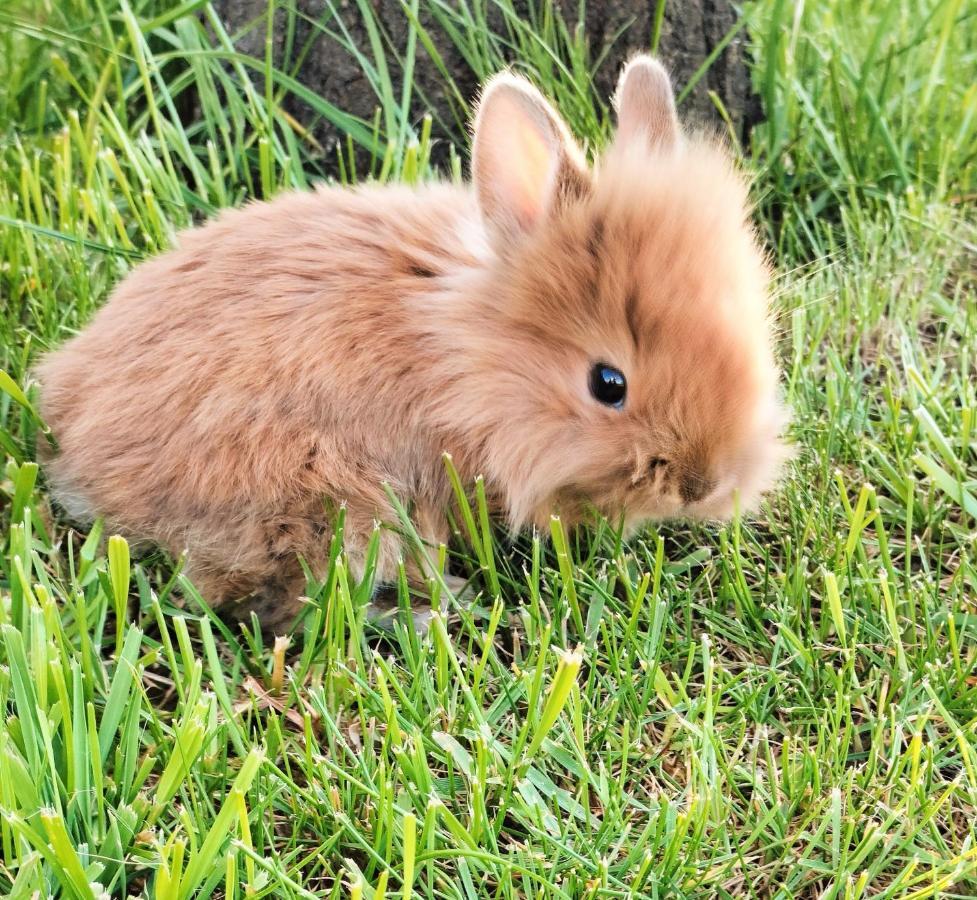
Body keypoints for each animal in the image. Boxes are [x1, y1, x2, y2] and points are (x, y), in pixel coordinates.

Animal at [36, 56, 784, 632]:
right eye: (608, 384)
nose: (702, 484)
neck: (463, 359)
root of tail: (75, 453)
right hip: (328, 504)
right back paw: (433, 610)